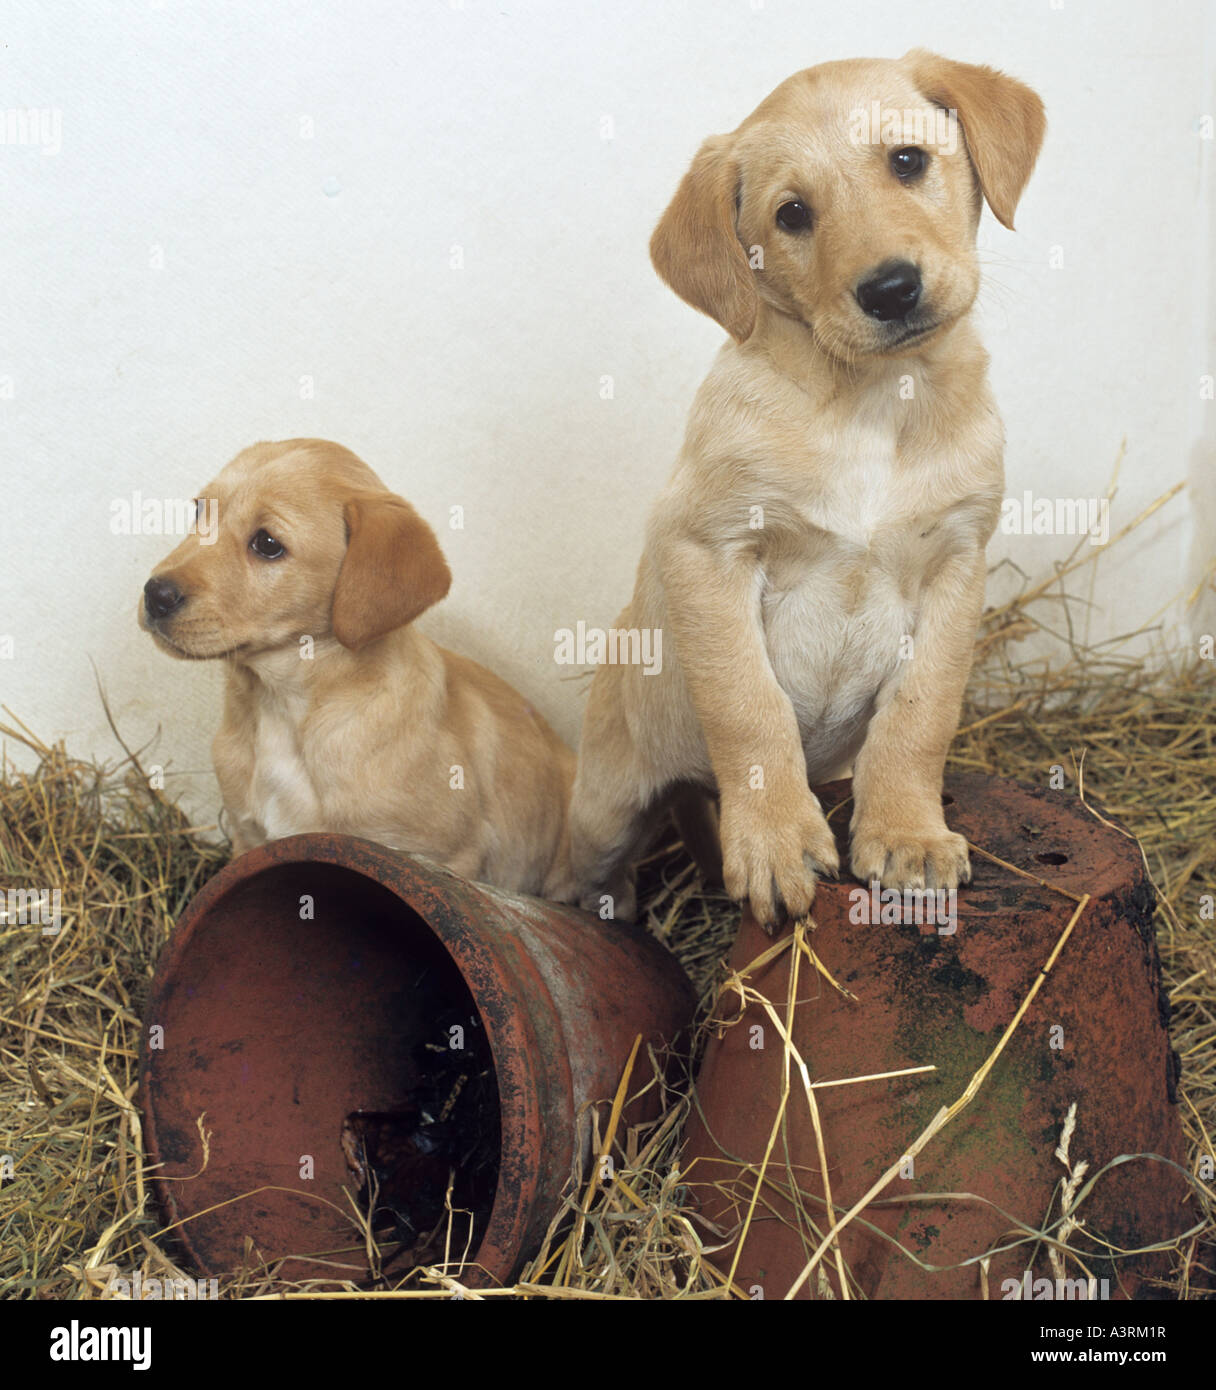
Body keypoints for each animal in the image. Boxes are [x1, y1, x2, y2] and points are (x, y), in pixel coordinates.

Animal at [140, 436, 578, 900]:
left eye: (268, 544)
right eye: (199, 512)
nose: (155, 595)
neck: (280, 707)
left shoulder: (445, 856)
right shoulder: (248, 838)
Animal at [567, 54, 1045, 928]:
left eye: (907, 162)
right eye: (792, 214)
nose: (890, 289)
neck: (874, 400)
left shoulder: (958, 564)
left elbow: (922, 715)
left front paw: (907, 835)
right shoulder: (709, 548)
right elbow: (749, 710)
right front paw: (776, 842)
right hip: (603, 811)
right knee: (584, 870)